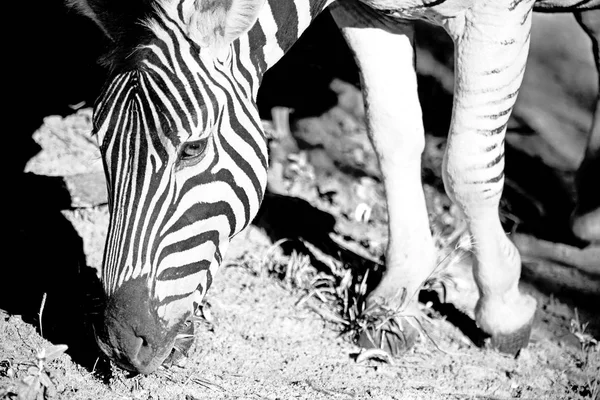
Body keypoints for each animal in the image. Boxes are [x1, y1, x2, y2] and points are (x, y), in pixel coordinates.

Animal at [71, 0, 600, 376]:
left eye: (193, 149)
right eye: (99, 142)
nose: (117, 344)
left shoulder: (498, 15)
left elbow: (466, 169)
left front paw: (504, 310)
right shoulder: (367, 14)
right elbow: (391, 134)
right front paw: (396, 297)